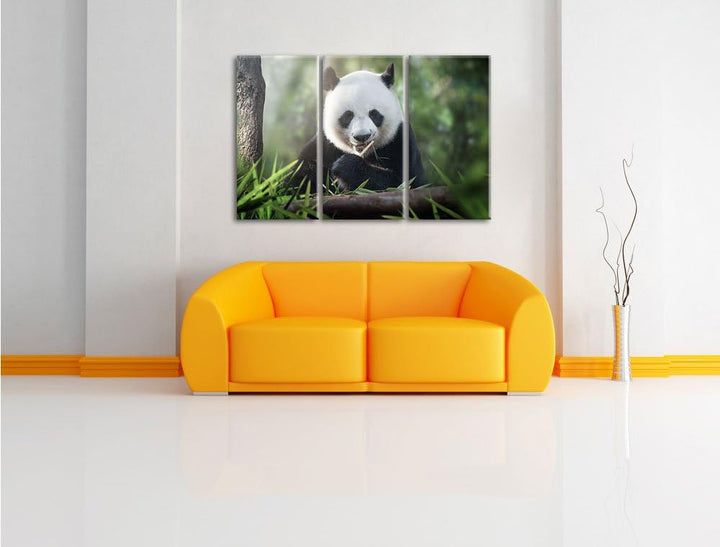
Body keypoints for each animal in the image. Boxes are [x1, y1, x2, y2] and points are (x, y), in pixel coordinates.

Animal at [293, 63, 426, 192]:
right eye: (348, 115)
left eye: (374, 114)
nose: (362, 136)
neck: (363, 153)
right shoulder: (325, 145)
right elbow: (299, 179)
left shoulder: (399, 141)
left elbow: (405, 182)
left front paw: (345, 166)